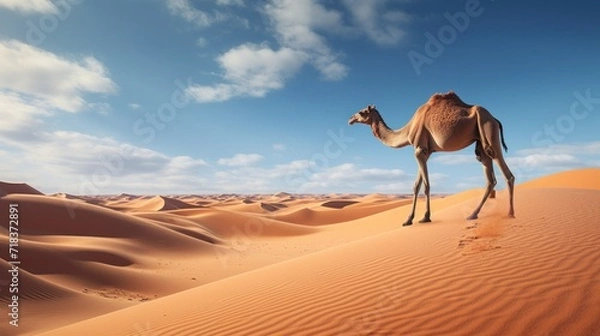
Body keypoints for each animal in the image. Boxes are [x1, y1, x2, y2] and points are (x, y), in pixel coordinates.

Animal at [346, 91, 516, 226]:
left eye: (362, 112)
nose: (350, 119)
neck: (409, 128)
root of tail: (495, 119)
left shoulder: (419, 150)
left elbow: (426, 185)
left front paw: (426, 217)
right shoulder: (426, 152)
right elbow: (416, 185)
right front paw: (408, 220)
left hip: (488, 131)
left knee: (507, 173)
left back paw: (510, 213)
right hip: (480, 142)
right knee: (490, 178)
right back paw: (473, 214)